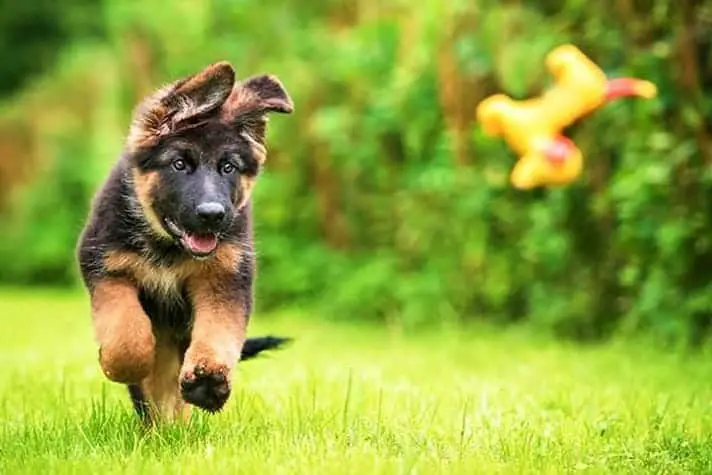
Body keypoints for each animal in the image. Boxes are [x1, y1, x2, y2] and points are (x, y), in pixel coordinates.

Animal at [79, 62, 296, 424]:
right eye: (179, 164)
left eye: (228, 167)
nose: (212, 215)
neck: (169, 248)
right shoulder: (107, 269)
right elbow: (126, 334)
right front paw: (123, 365)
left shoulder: (224, 278)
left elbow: (219, 331)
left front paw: (209, 380)